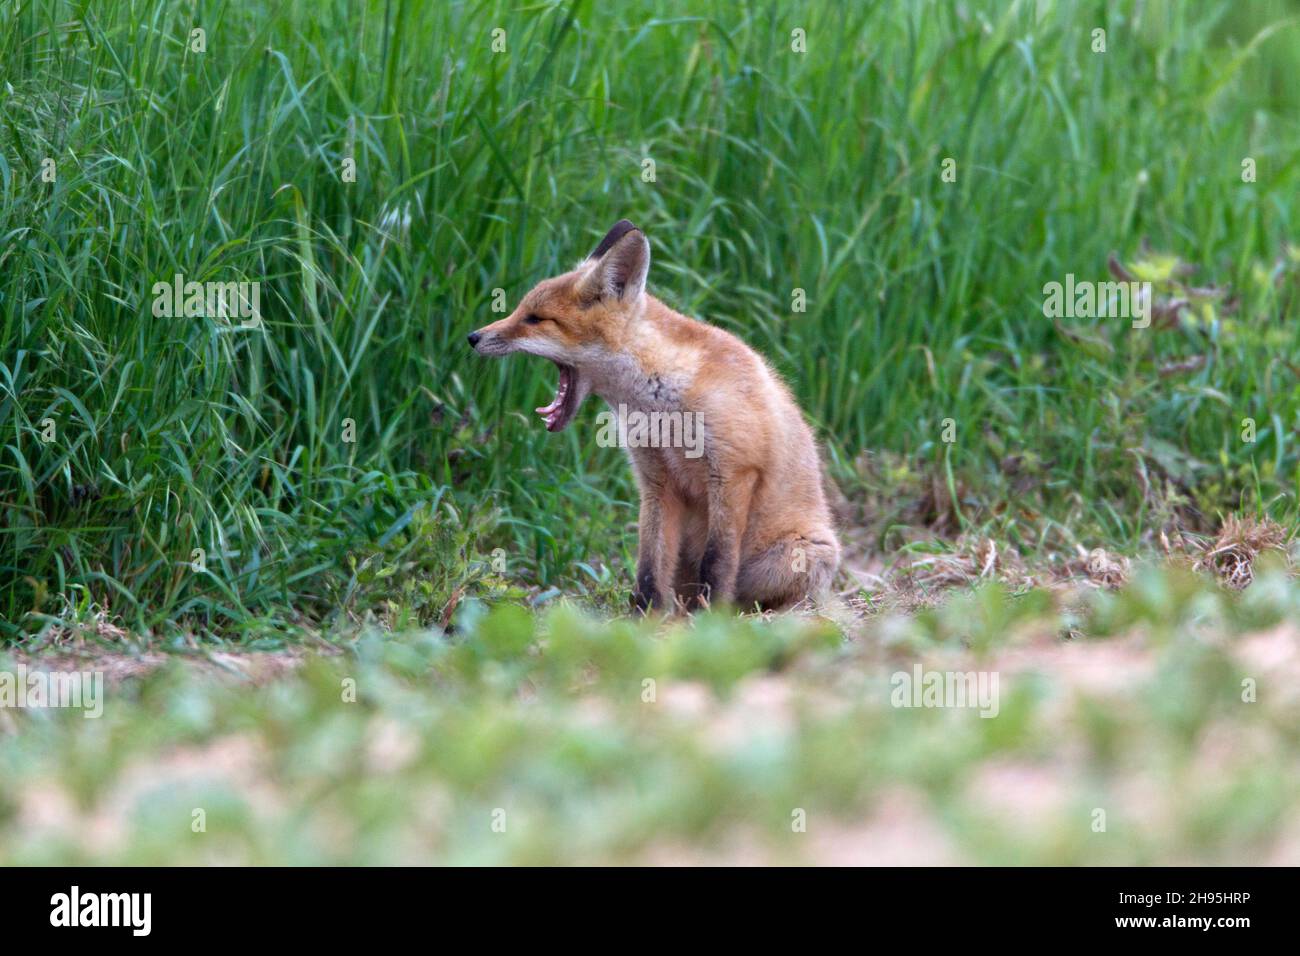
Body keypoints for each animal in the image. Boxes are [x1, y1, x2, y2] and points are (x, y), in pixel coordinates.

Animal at [468, 220, 840, 612]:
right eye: (519, 310)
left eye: (535, 319)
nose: (473, 337)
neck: (663, 410)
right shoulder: (656, 480)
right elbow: (650, 563)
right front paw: (644, 616)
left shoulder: (734, 472)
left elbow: (717, 561)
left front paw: (711, 618)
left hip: (795, 557)